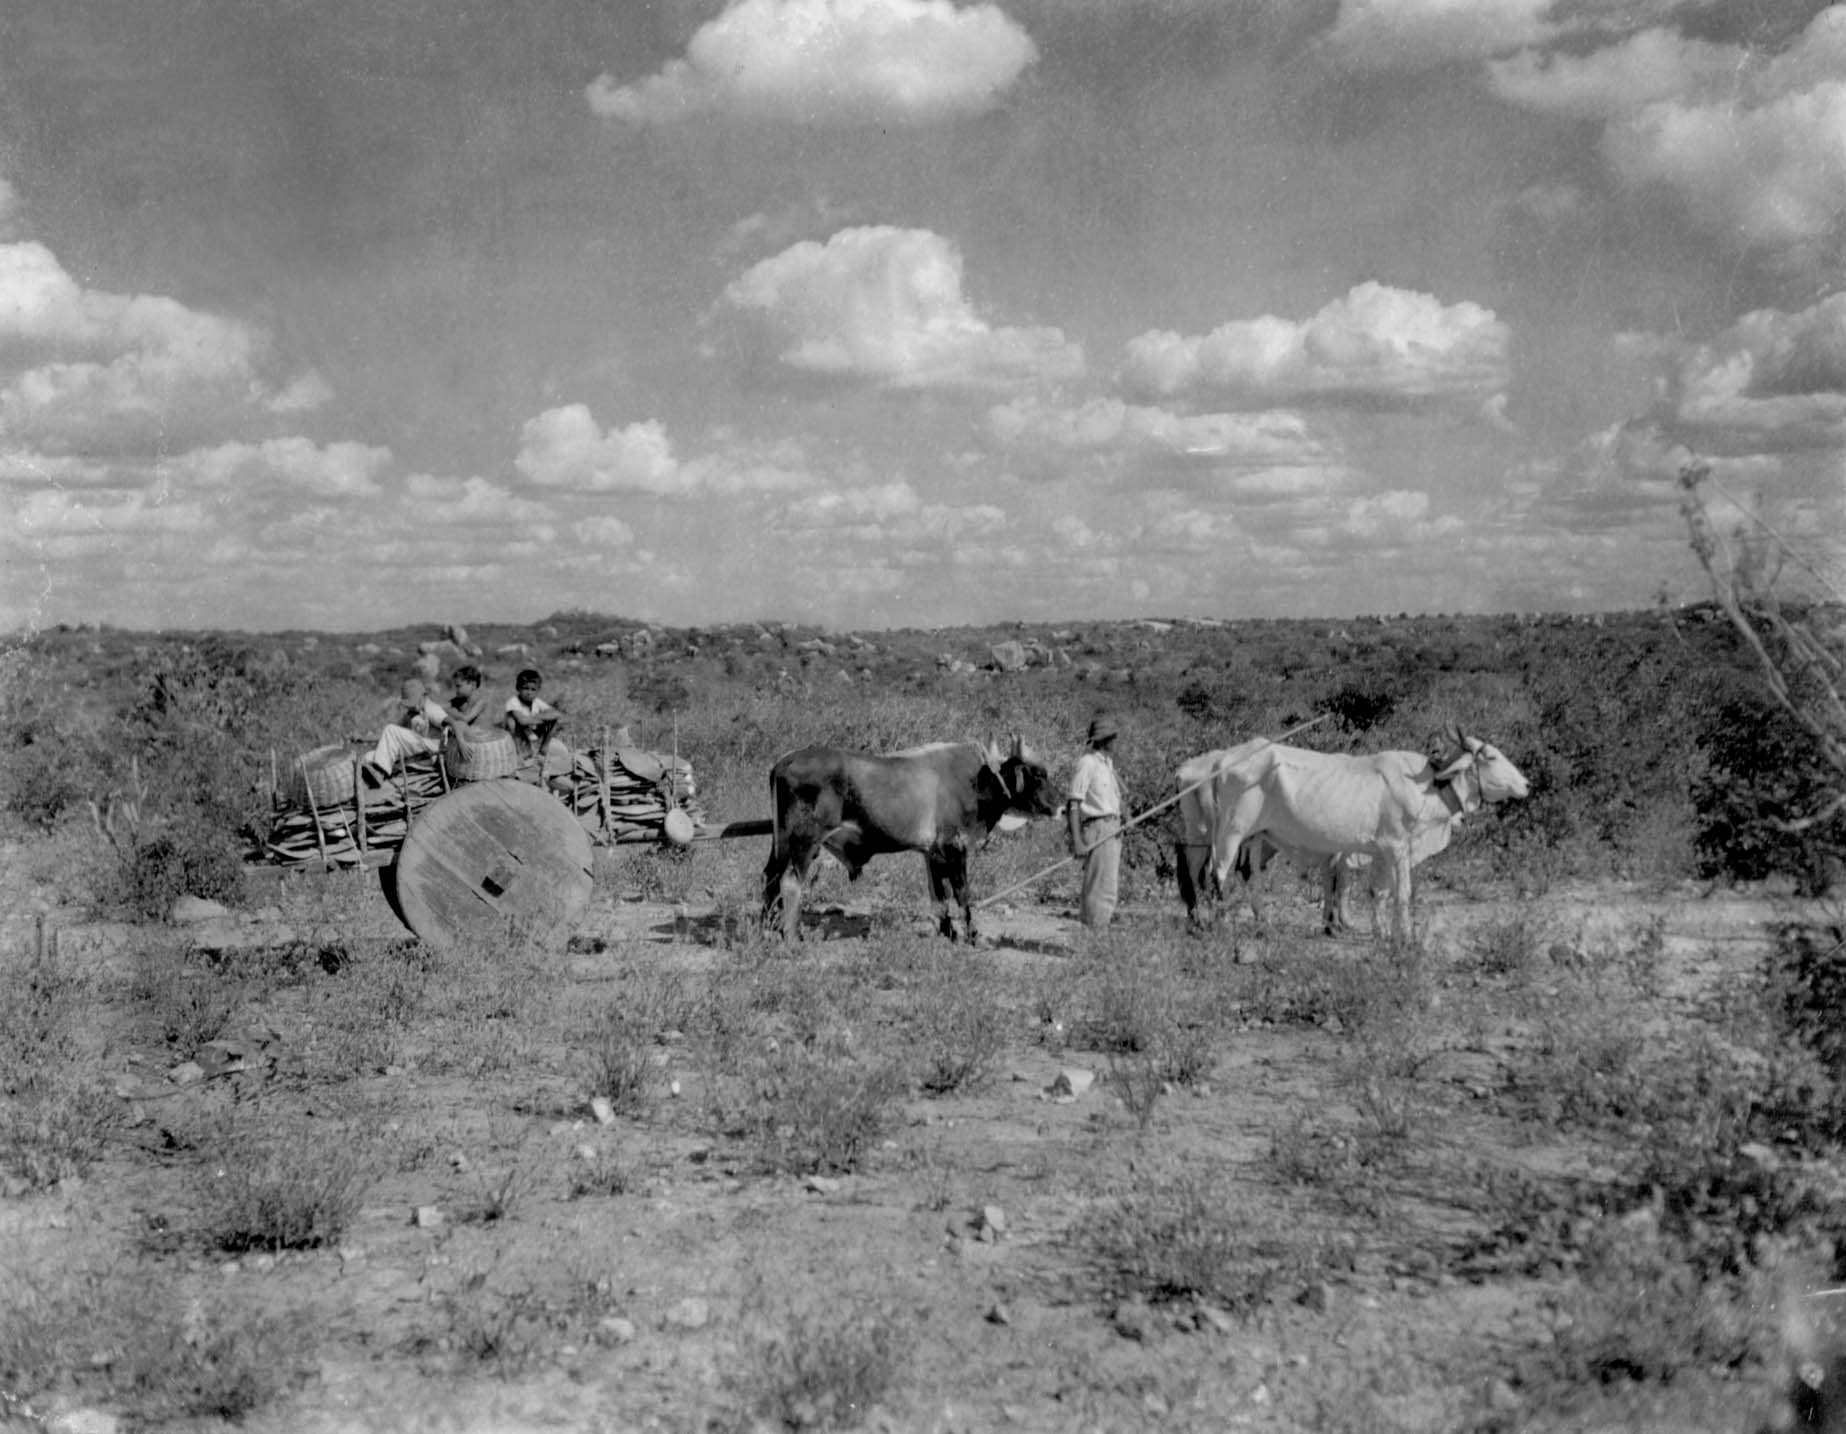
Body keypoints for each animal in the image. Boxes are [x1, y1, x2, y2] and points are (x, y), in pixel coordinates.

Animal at [763, 736, 1061, 942]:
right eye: (1038, 774)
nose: (1060, 805)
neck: (977, 782)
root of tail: (783, 762)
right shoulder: (956, 847)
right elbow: (962, 894)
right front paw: (972, 936)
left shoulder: (933, 853)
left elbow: (939, 896)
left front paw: (948, 933)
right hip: (804, 843)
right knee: (790, 882)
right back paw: (792, 936)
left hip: (782, 843)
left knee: (770, 878)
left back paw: (767, 927)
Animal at [1174, 729, 1529, 942]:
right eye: (1491, 757)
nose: (1526, 784)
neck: (1426, 785)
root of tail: (1220, 760)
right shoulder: (1398, 848)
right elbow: (1401, 894)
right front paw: (1404, 937)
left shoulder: (1379, 852)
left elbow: (1377, 892)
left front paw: (1379, 931)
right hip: (1231, 832)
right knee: (1217, 874)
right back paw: (1218, 923)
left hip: (1251, 835)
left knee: (1242, 873)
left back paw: (1250, 921)